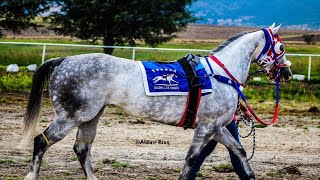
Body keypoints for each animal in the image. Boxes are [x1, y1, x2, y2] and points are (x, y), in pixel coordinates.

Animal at [23, 24, 292, 180]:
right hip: (70, 116)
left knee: (81, 148)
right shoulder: (206, 127)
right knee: (41, 141)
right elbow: (192, 158)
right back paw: (31, 176)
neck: (219, 74)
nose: (287, 73)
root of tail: (63, 60)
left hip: (91, 115)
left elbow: (239, 150)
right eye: (280, 46)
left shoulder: (217, 127)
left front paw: (249, 174)